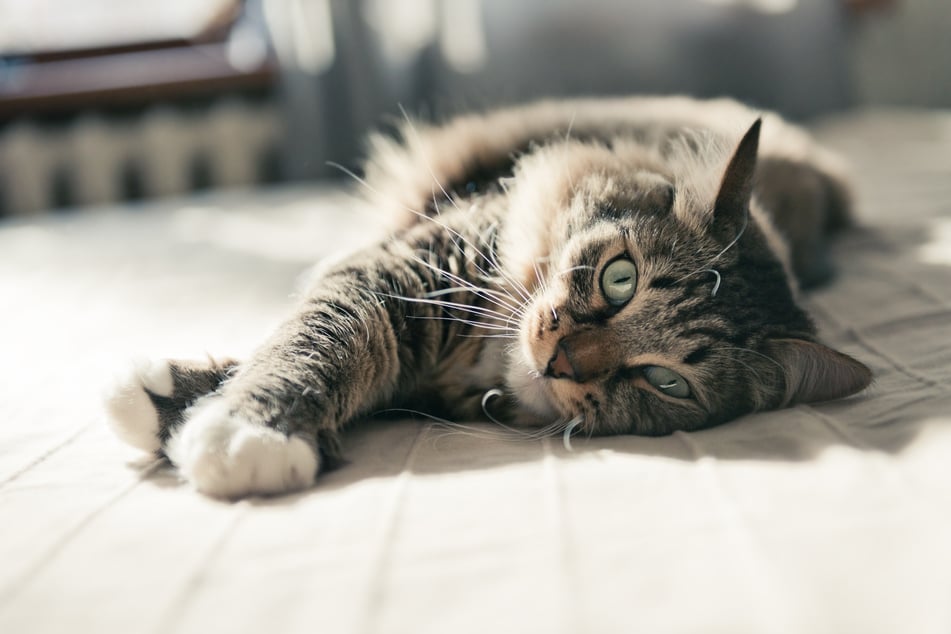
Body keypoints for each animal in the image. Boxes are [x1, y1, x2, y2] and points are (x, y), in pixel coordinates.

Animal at [104, 96, 872, 496]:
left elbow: (325, 357)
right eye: (618, 278)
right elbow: (312, 339)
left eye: (667, 382)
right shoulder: (400, 273)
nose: (561, 360)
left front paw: (237, 431)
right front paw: (197, 404)